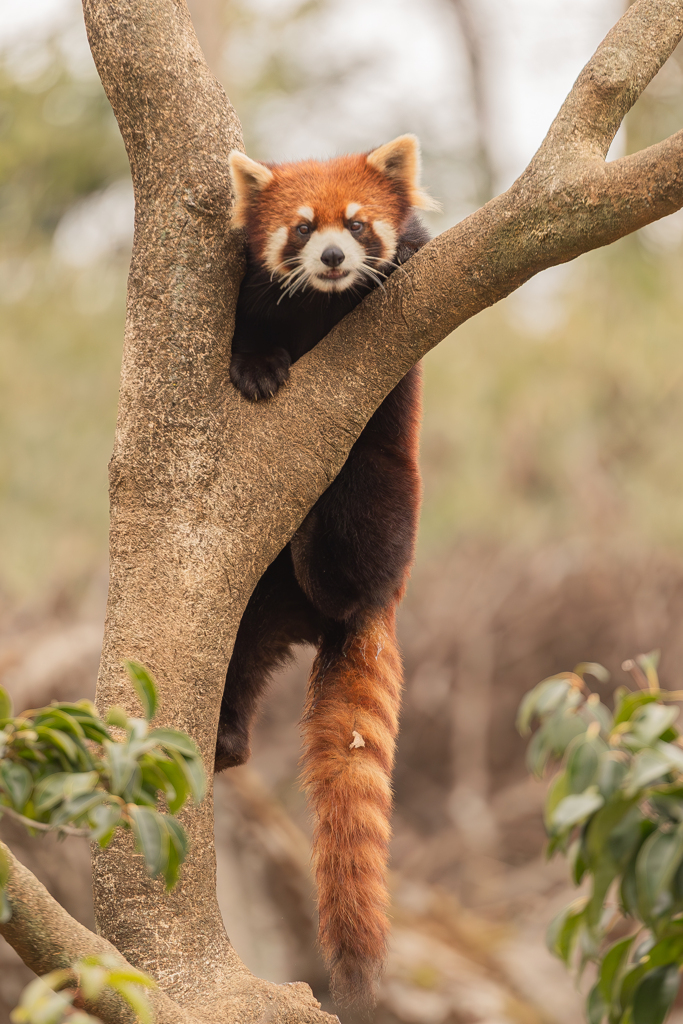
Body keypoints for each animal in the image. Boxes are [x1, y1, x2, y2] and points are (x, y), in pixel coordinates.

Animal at [216, 136, 436, 1007]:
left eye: (358, 224)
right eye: (304, 229)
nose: (336, 258)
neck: (321, 306)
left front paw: (407, 251)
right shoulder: (254, 299)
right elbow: (247, 335)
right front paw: (259, 368)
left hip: (383, 491)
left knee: (354, 524)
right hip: (255, 594)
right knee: (237, 657)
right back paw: (226, 739)